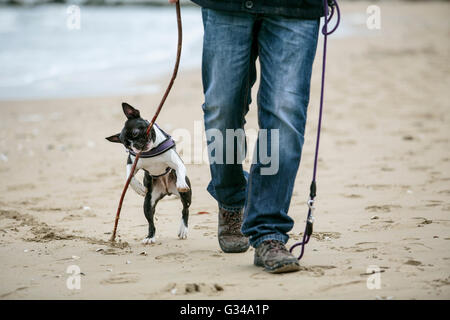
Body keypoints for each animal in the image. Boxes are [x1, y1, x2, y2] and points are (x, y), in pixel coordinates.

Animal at [107, 104, 192, 244]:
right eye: (127, 145)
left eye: (135, 133)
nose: (135, 145)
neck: (151, 150)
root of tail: (167, 191)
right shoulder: (131, 162)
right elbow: (129, 176)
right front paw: (138, 188)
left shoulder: (176, 162)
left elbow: (180, 169)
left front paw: (181, 183)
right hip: (148, 202)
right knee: (151, 221)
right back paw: (150, 237)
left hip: (185, 197)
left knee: (185, 210)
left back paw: (183, 229)